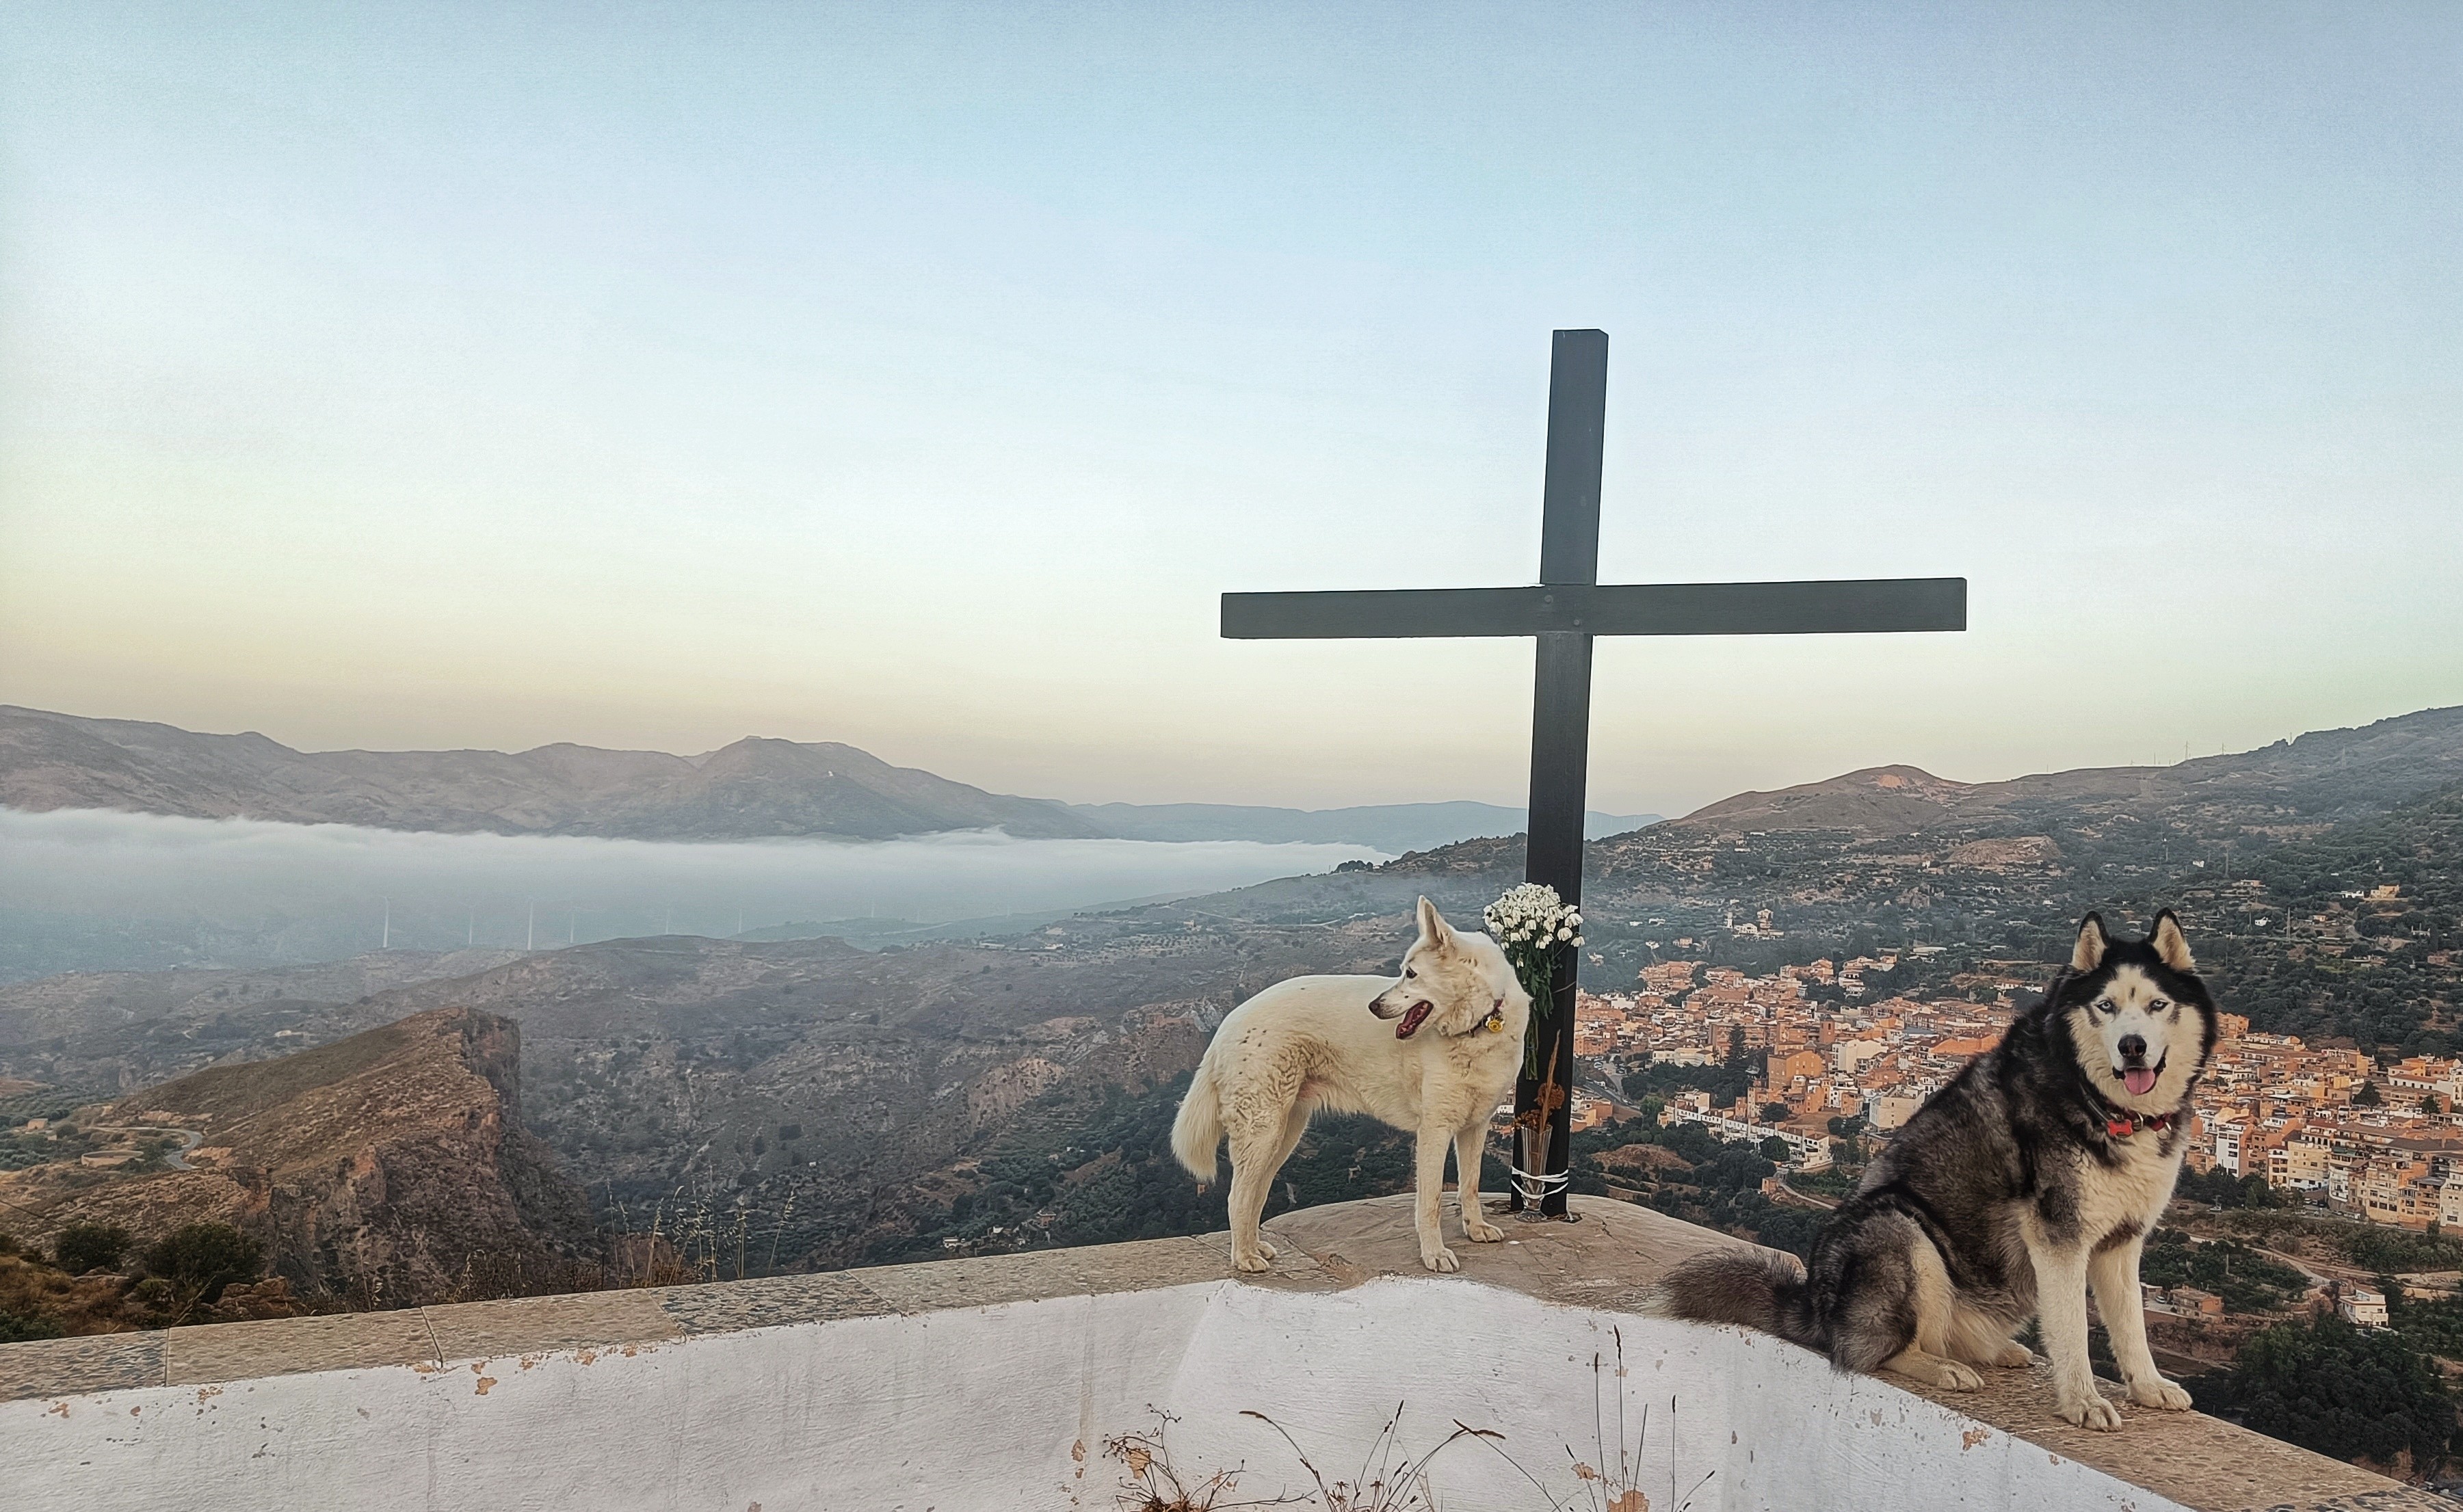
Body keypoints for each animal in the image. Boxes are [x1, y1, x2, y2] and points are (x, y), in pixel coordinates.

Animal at [1167, 901, 1517, 1280]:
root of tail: (1227, 1024)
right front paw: (1435, 1254)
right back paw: (1244, 1257)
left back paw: (1255, 1247)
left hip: (1282, 1133)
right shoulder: (1434, 1131)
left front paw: (1476, 1229)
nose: (1374, 1007)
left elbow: (1470, 1185)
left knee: (1255, 1192)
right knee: (1238, 1196)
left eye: (1411, 974)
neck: (1476, 1029)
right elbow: (1432, 1203)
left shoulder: (1475, 1127)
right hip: (1262, 1129)